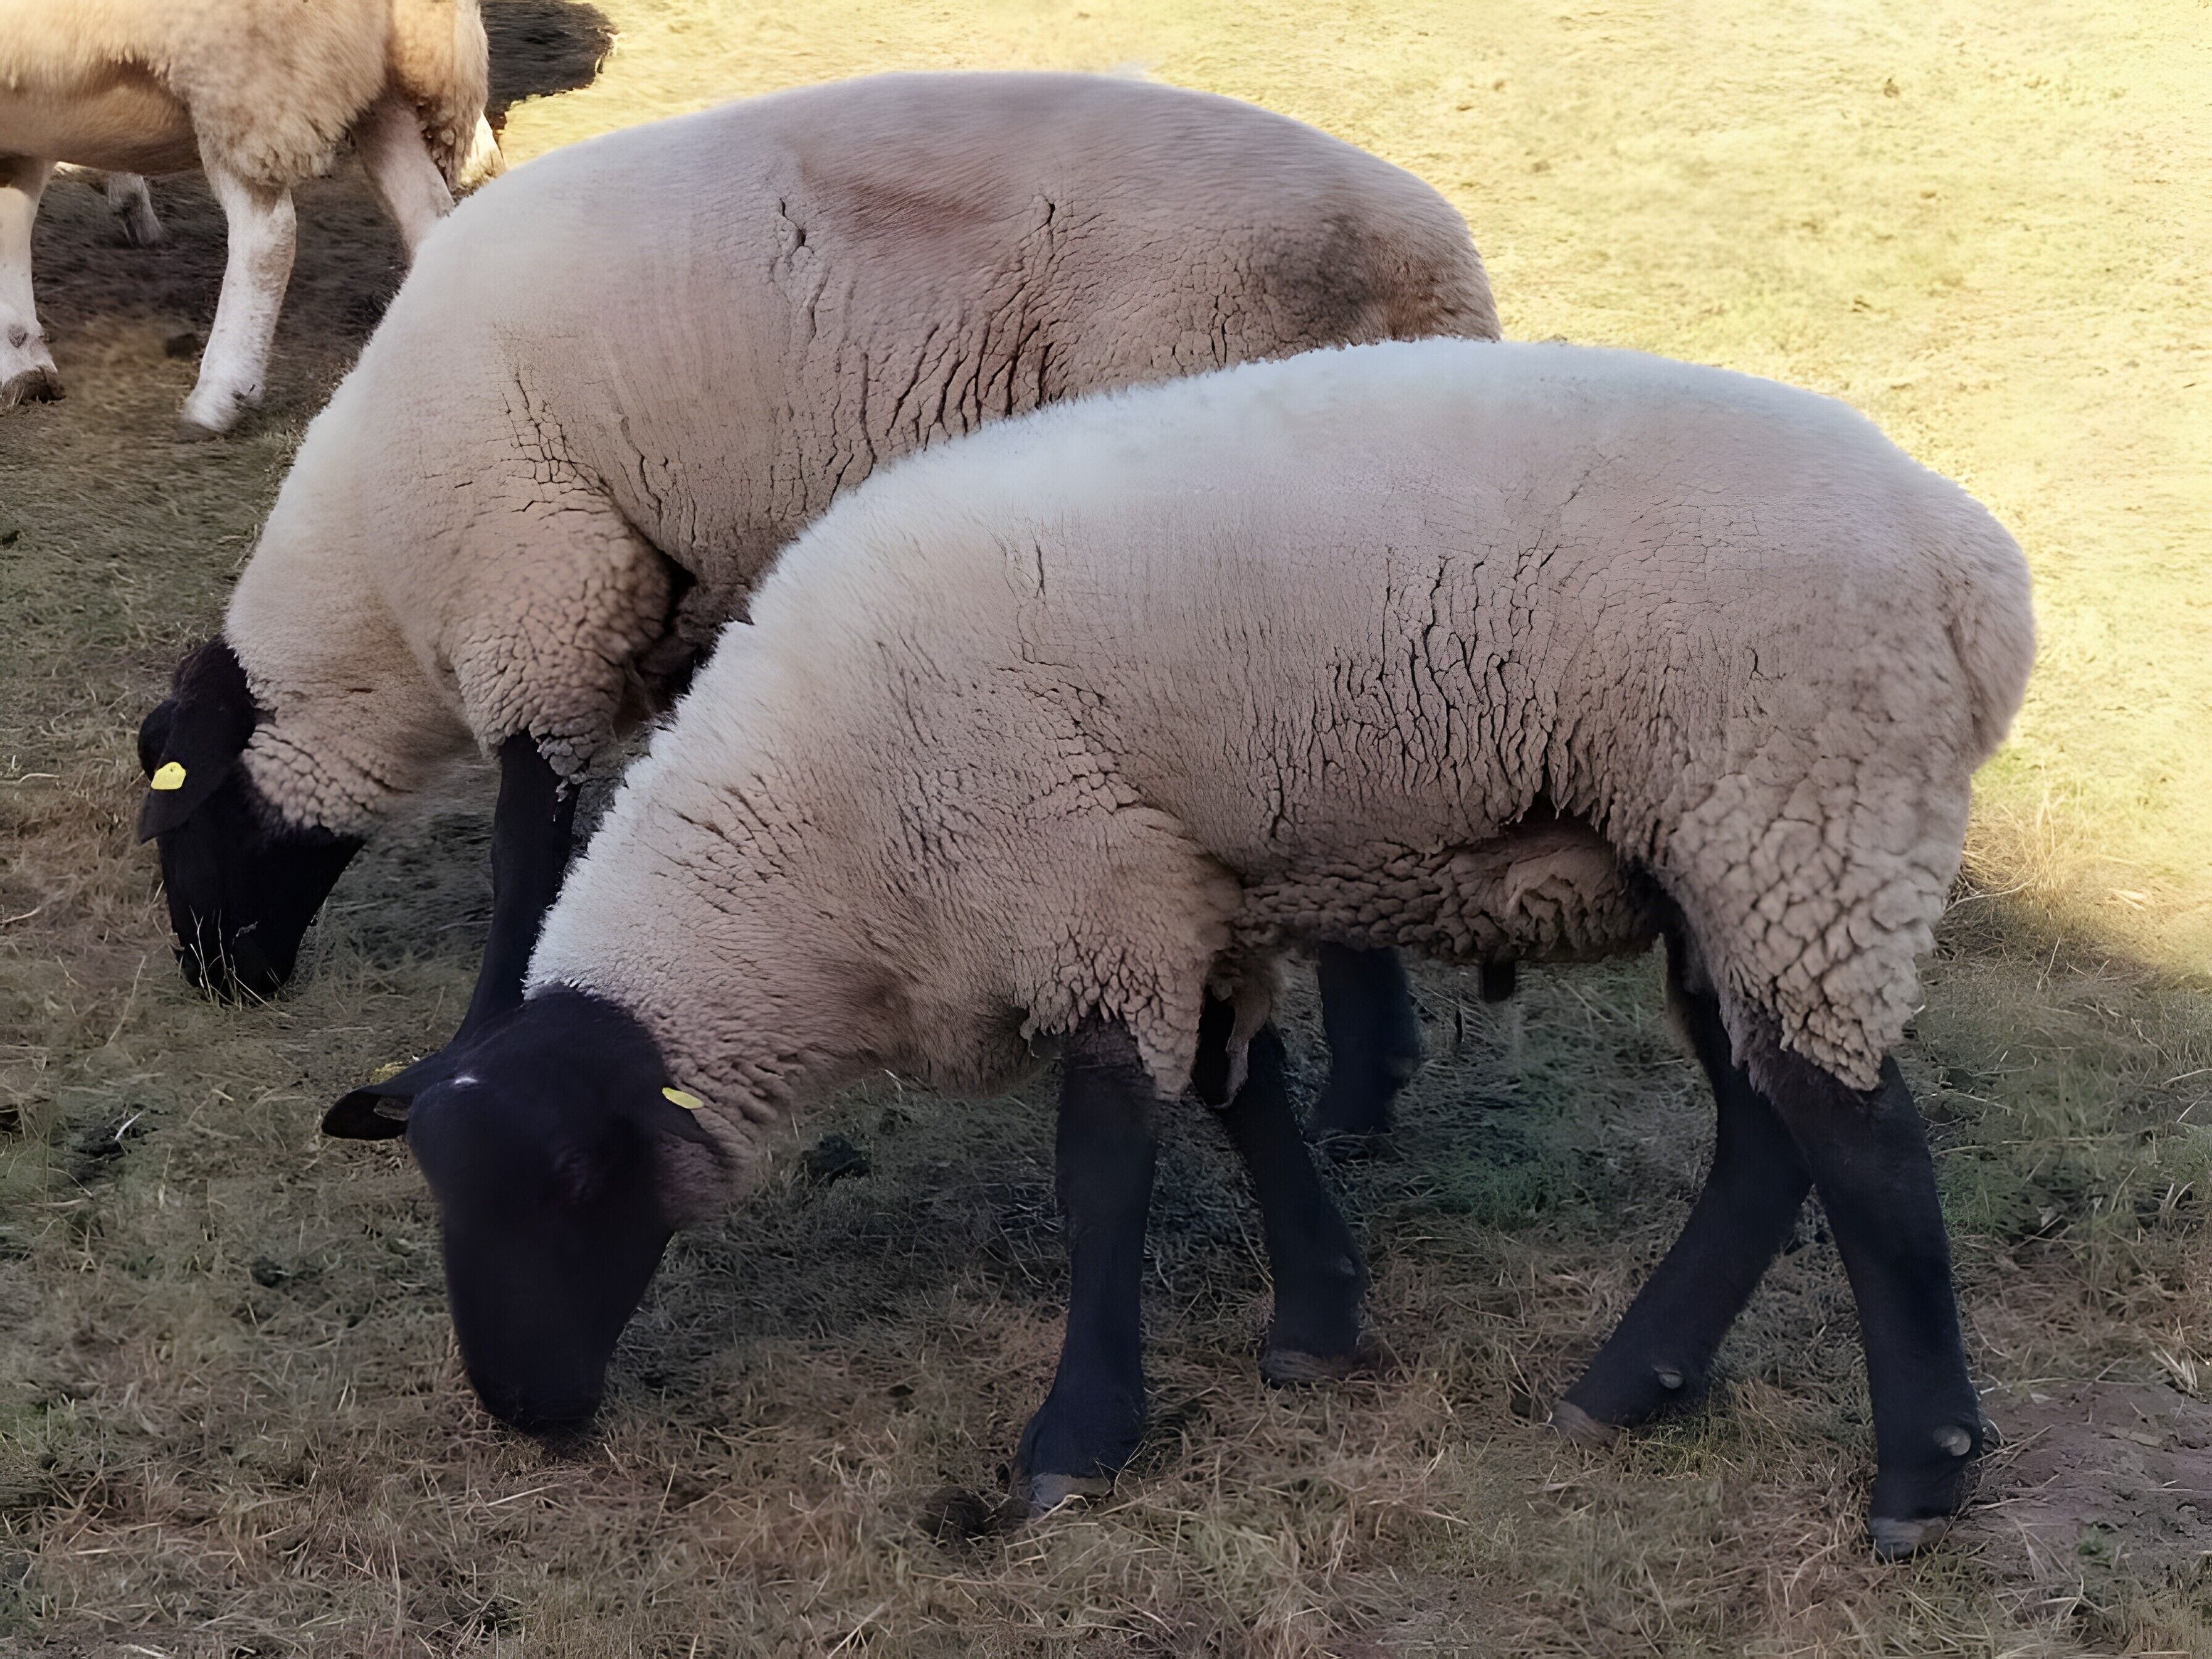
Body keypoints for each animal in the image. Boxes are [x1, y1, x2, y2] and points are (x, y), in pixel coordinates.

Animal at [1, 0, 500, 433]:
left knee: (268, 236)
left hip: (249, 72)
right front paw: (22, 359)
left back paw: (218, 395)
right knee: (428, 212)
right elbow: (11, 219)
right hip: (370, 77)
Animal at [136, 69, 1501, 1132]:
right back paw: (1367, 1093)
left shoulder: (540, 584)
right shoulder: (660, 606)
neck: (375, 571)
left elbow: (528, 845)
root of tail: (1428, 263)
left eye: (178, 824)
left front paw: (462, 1050)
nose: (212, 981)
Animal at [322, 338, 2035, 1555]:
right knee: (1767, 1132)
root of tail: (1976, 573)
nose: (520, 1411)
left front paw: (1077, 1443)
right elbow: (1241, 1098)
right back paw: (1631, 1389)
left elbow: (1104, 1171)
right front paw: (1319, 1322)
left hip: (1799, 820)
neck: (820, 840)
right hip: (1721, 863)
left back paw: (1918, 1475)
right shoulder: (1174, 893)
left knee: (1862, 1145)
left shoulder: (1090, 895)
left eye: (567, 1183)